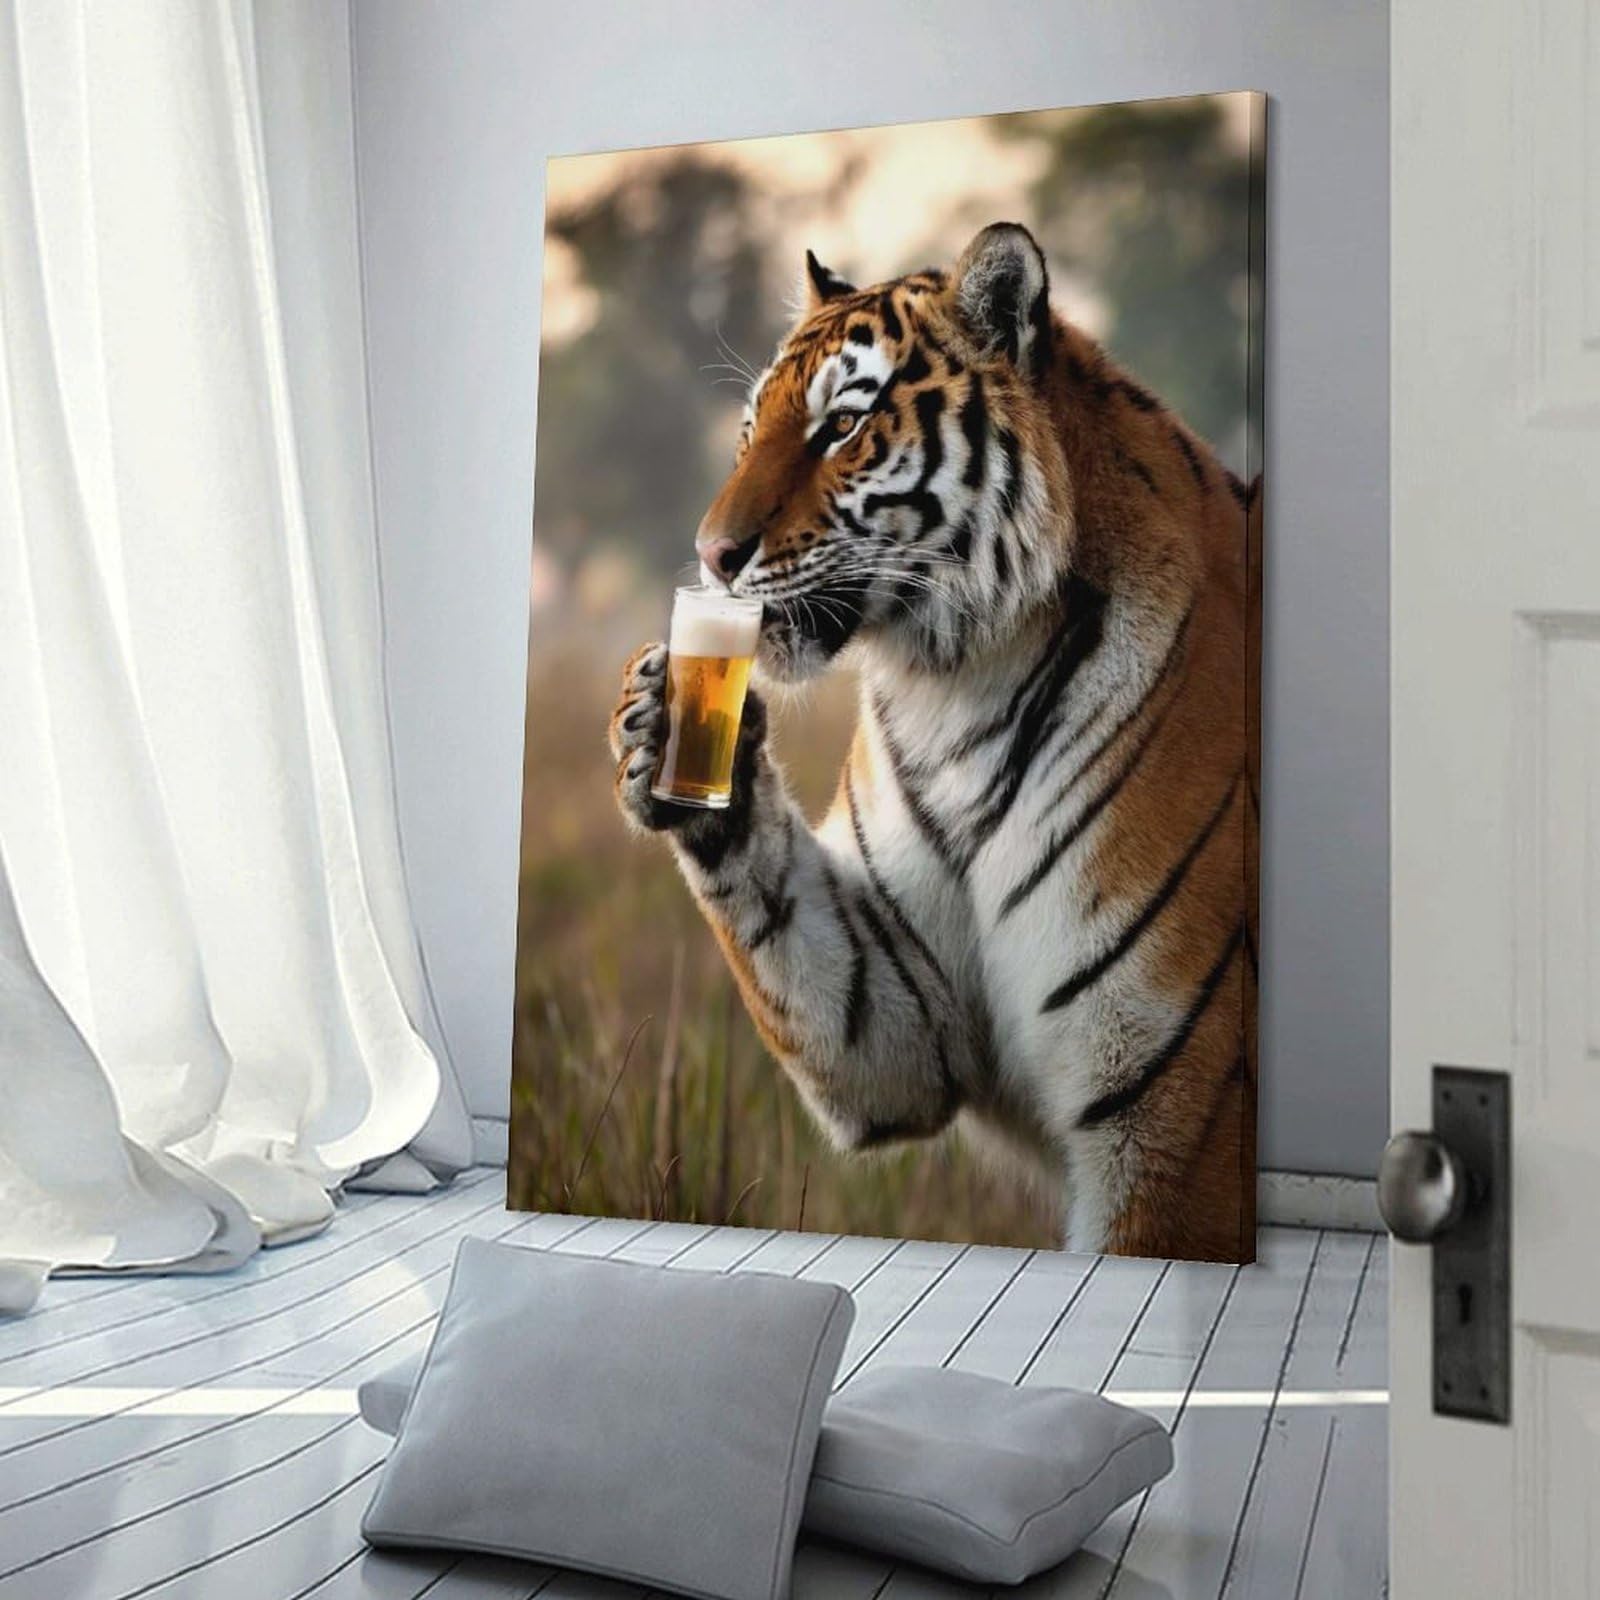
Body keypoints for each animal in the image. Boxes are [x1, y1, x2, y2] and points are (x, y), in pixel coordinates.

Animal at [608, 222, 1260, 1261]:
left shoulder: (1174, 1120)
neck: (958, 689)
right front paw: (662, 729)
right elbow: (788, 933)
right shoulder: (904, 1019)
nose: (710, 557)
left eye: (841, 428)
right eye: (750, 432)